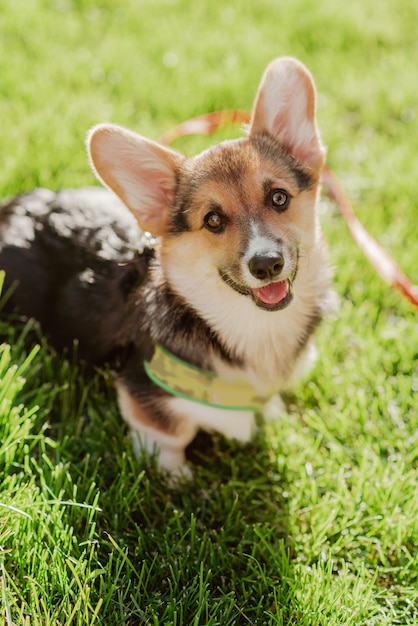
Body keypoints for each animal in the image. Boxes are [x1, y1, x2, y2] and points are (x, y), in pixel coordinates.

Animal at [0, 57, 334, 472]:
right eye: (213, 220)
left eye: (278, 197)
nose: (267, 264)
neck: (254, 329)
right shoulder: (147, 397)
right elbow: (171, 439)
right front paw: (175, 477)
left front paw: (271, 413)